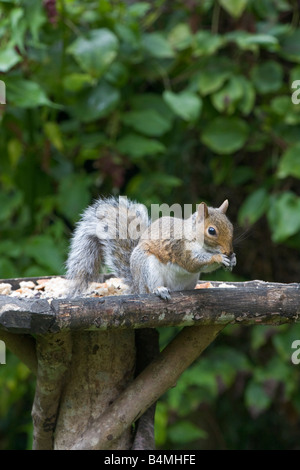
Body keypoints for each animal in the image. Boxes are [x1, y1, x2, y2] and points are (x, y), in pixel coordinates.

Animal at [66, 196, 237, 296]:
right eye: (211, 231)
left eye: (231, 226)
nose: (229, 251)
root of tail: (136, 286)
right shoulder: (179, 247)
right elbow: (192, 262)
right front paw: (219, 257)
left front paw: (233, 259)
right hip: (147, 267)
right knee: (150, 288)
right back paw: (159, 290)